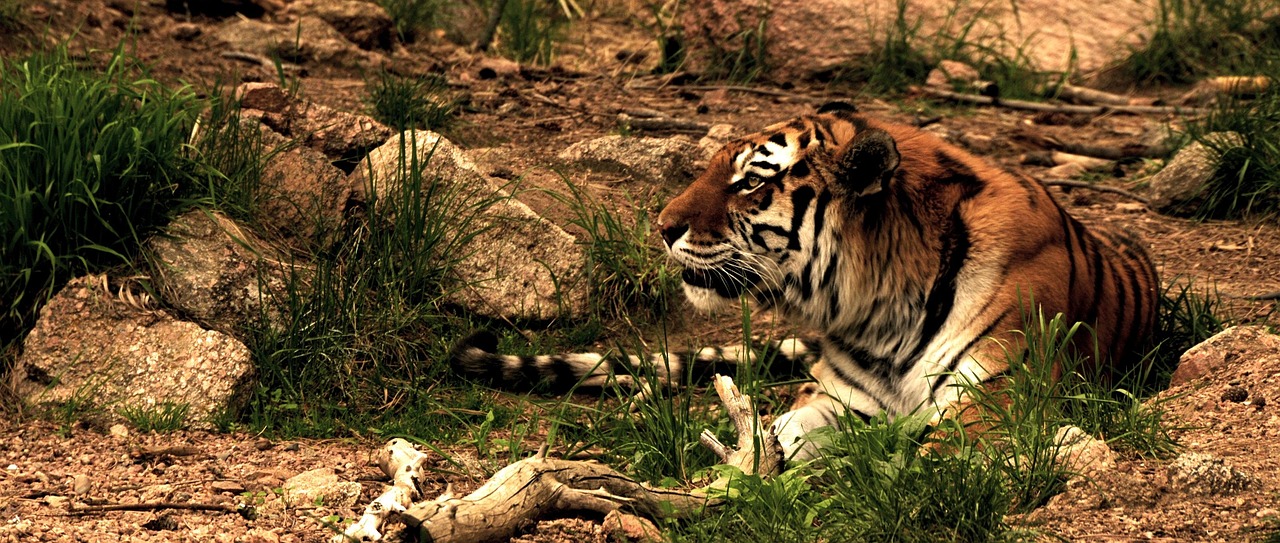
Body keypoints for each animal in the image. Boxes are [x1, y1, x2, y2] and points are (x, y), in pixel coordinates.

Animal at [453, 102, 1159, 462]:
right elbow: (778, 436)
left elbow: (922, 459)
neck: (883, 311)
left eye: (750, 181)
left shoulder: (993, 403)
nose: (661, 226)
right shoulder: (835, 398)